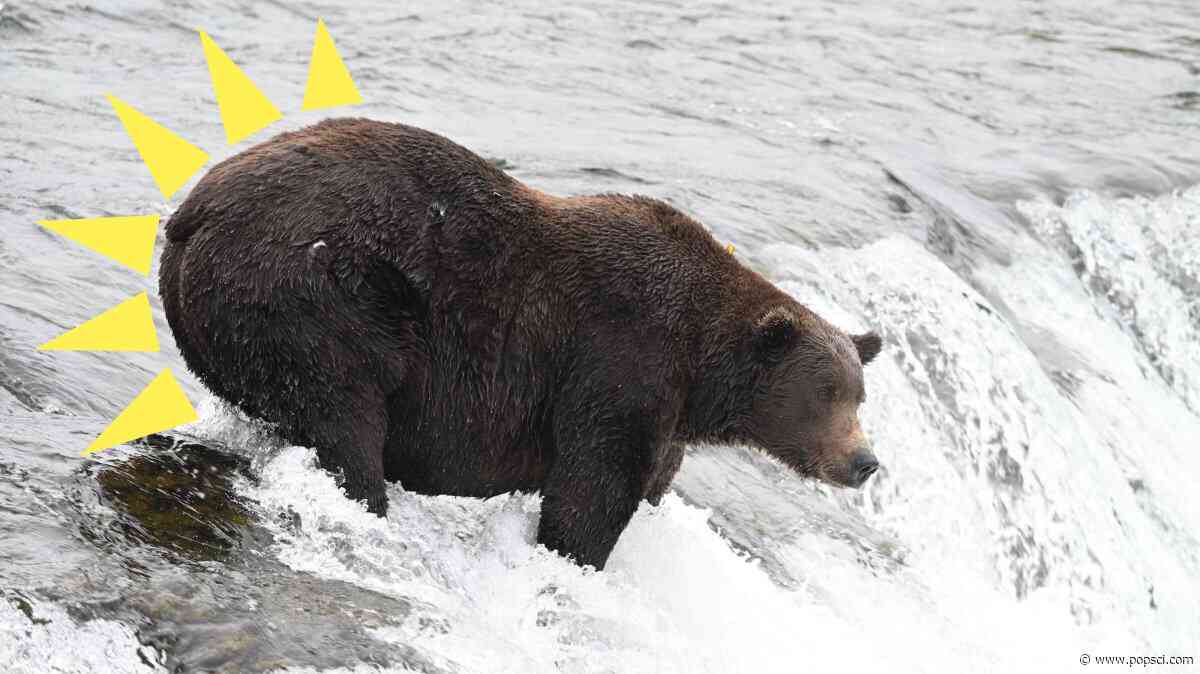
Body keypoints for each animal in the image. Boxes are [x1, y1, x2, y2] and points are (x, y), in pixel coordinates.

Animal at [160, 118, 883, 570]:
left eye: (859, 396)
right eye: (826, 395)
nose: (865, 462)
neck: (703, 372)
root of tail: (194, 210)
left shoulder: (667, 412)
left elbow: (649, 480)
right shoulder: (621, 360)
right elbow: (592, 491)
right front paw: (574, 557)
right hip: (316, 293)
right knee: (345, 412)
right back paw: (367, 496)